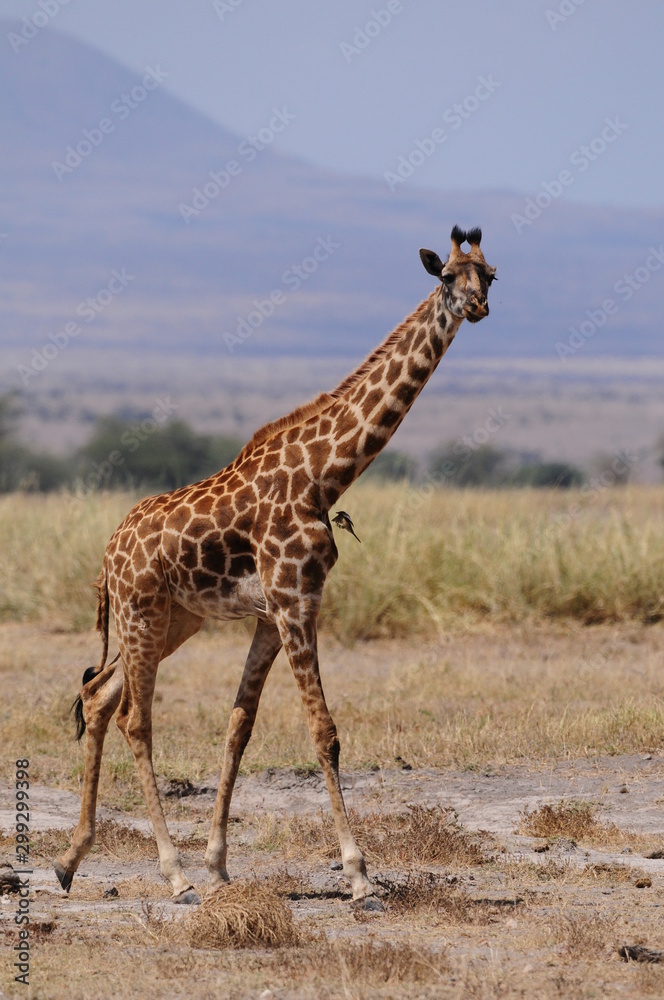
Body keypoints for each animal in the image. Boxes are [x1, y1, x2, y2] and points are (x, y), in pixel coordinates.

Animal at [55, 226, 496, 909]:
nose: (476, 306)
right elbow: (324, 730)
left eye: (490, 274)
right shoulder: (294, 600)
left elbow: (240, 724)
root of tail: (107, 553)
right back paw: (172, 874)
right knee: (133, 717)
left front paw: (219, 864)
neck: (324, 476)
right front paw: (359, 874)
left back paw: (71, 861)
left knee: (97, 695)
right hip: (141, 615)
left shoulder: (272, 611)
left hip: (172, 620)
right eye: (447, 276)